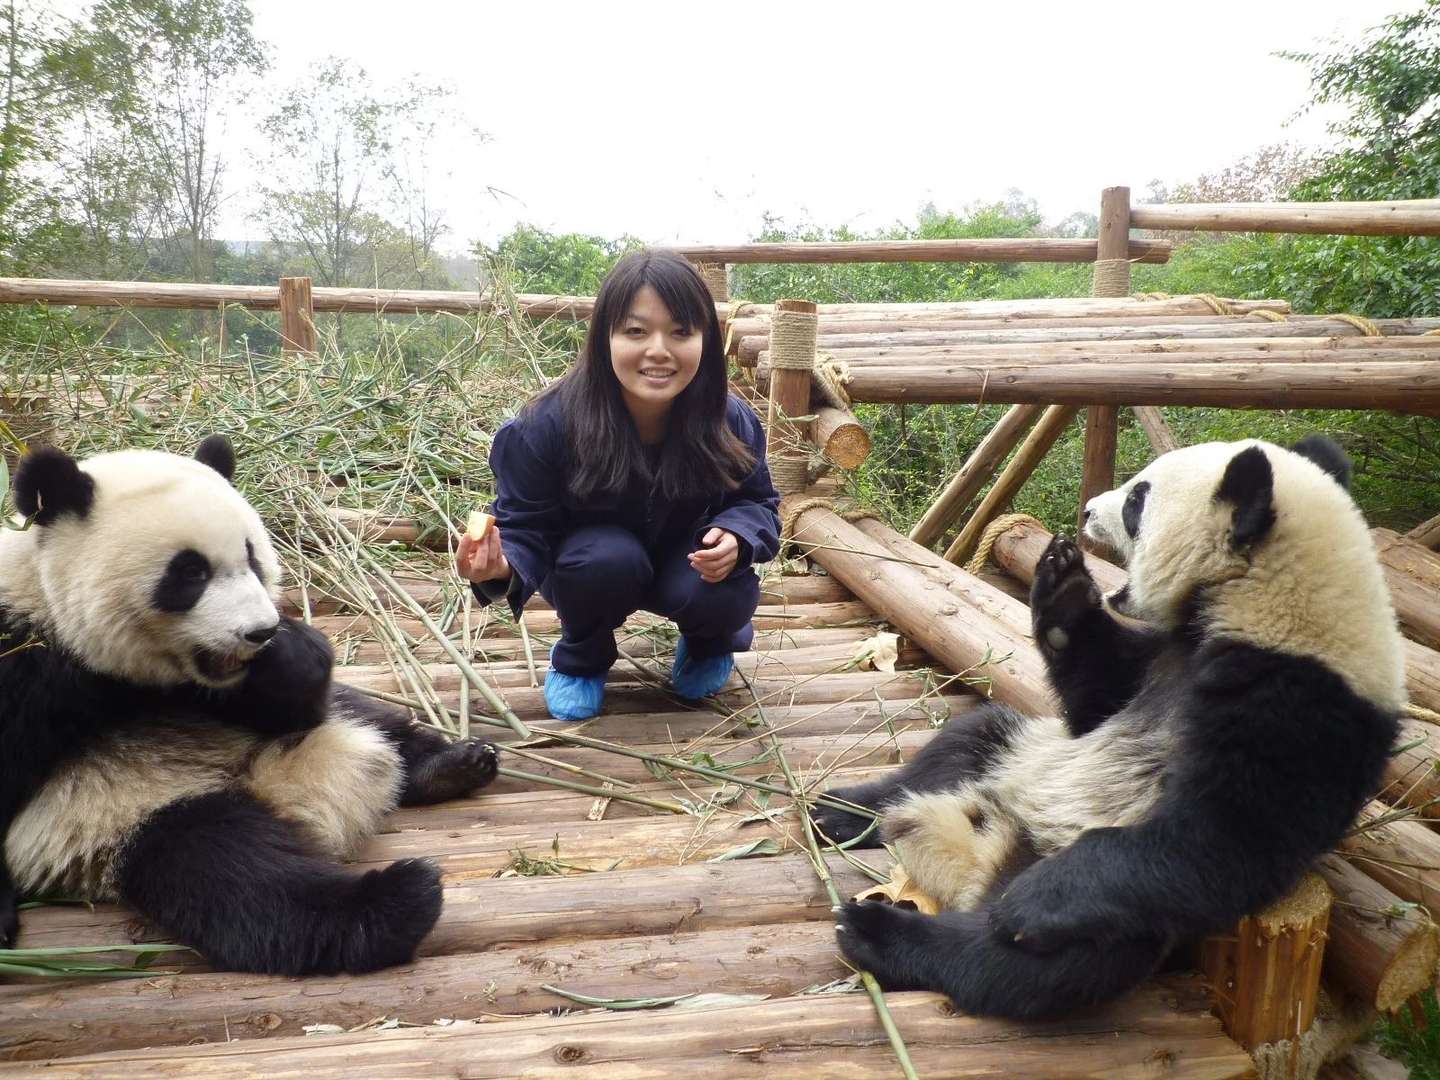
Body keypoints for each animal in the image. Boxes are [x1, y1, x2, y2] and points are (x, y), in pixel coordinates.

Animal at [0, 434, 504, 979]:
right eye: (190, 572)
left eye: (252, 558)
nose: (260, 632)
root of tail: (276, 786)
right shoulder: (24, 654)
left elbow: (295, 702)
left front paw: (292, 657)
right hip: (128, 808)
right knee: (235, 873)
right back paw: (394, 902)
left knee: (372, 719)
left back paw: (453, 765)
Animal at [817, 434, 1399, 1019]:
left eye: (1138, 500)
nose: (1090, 510)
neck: (1264, 604)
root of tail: (982, 856)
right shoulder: (1163, 656)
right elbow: (1095, 702)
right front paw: (1064, 586)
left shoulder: (1302, 715)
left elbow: (1222, 838)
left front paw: (1034, 902)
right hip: (1019, 754)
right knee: (966, 741)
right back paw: (842, 812)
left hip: (1118, 911)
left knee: (1039, 964)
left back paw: (885, 932)